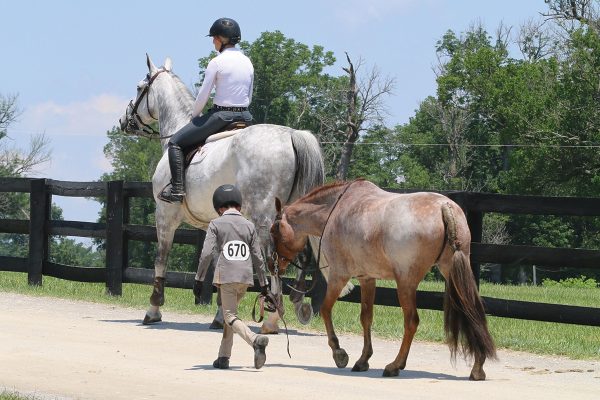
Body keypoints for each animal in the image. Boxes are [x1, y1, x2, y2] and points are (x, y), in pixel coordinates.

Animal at [119, 54, 326, 330]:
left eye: (140, 87)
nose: (124, 121)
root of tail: (292, 135)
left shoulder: (164, 215)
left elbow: (161, 258)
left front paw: (153, 309)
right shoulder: (217, 223)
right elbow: (221, 266)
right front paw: (221, 315)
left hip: (264, 220)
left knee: (273, 263)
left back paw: (272, 318)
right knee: (299, 255)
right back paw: (295, 304)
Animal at [272, 180, 496, 380]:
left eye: (274, 230)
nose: (274, 263)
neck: (335, 209)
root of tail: (444, 206)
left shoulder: (338, 276)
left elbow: (326, 310)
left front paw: (339, 353)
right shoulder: (367, 279)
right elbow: (366, 317)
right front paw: (363, 360)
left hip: (406, 284)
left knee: (411, 321)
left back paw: (395, 365)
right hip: (452, 273)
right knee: (472, 312)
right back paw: (478, 368)